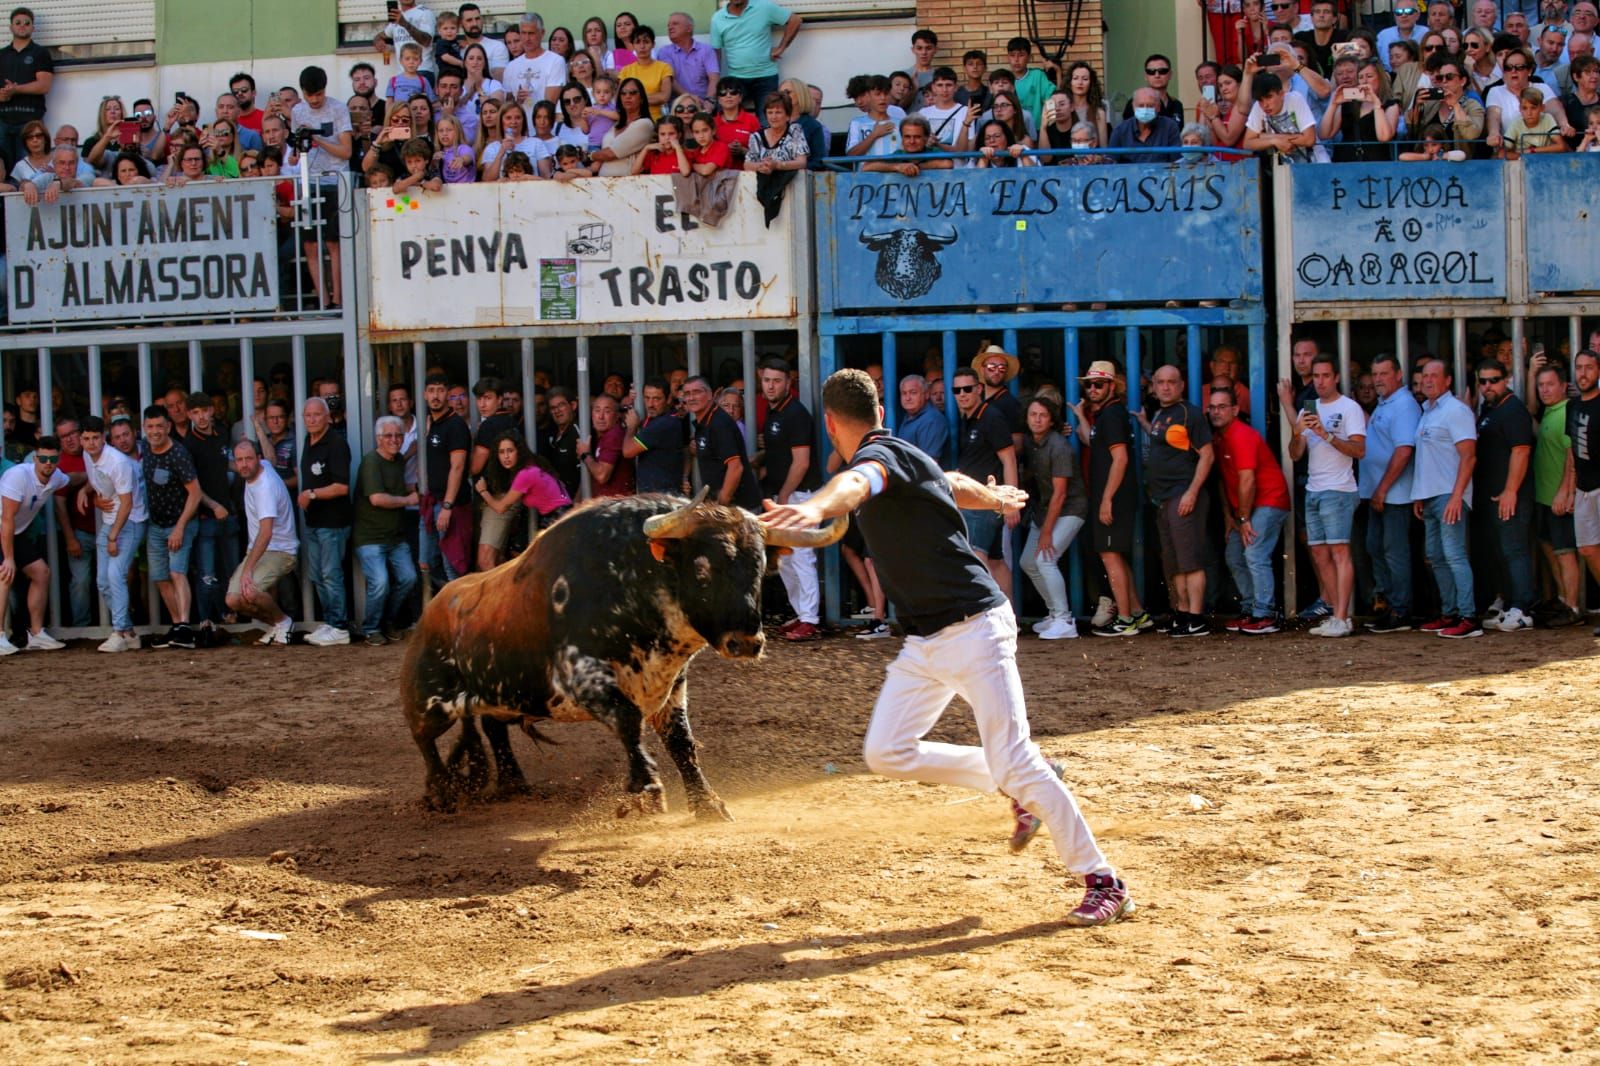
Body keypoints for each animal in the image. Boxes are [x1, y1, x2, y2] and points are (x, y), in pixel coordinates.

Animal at [400, 486, 851, 813]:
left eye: (759, 570)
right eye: (703, 570)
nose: (746, 642)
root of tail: (433, 608)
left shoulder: (672, 687)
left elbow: (682, 743)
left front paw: (706, 804)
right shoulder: (584, 678)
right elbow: (629, 720)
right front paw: (646, 787)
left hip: (500, 695)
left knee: (492, 728)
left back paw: (513, 783)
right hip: (430, 705)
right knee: (424, 742)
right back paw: (441, 793)